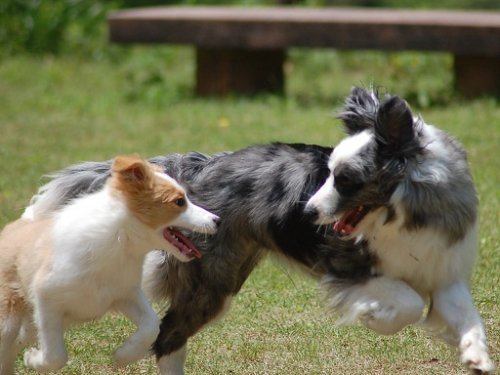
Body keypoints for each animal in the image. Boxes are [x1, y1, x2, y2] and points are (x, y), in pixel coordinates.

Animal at [0, 154, 219, 374]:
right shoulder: (46, 297)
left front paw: (123, 356)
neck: (120, 241)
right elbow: (56, 354)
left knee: (15, 345)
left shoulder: (125, 293)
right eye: (179, 201)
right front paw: (33, 359)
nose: (217, 220)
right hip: (9, 318)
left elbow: (151, 325)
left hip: (29, 322)